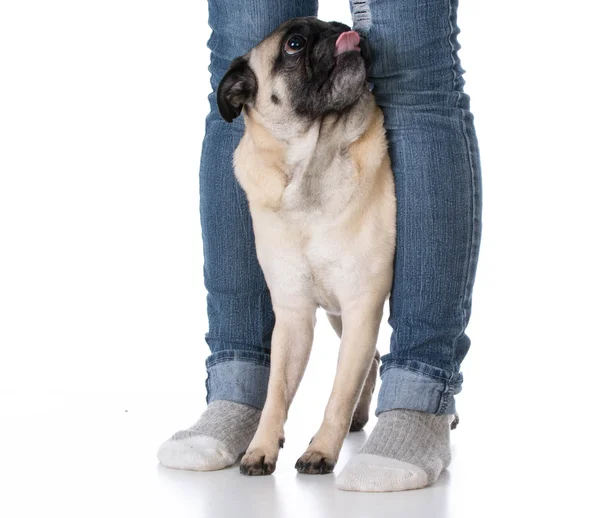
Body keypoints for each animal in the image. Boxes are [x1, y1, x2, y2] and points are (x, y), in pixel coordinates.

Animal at [218, 17, 396, 480]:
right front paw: (262, 447)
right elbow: (276, 393)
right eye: (294, 44)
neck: (313, 164)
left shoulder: (362, 305)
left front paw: (321, 451)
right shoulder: (294, 316)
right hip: (336, 317)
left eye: (338, 24)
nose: (344, 30)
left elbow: (338, 394)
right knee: (373, 361)